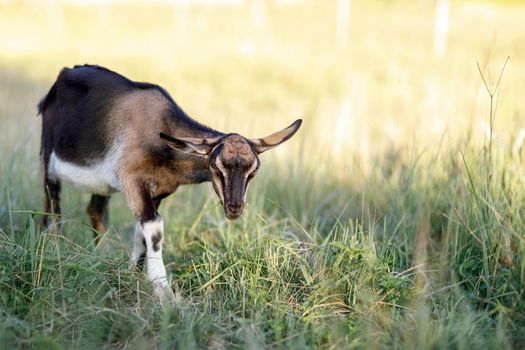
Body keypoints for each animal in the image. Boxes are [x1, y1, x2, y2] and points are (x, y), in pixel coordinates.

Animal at [39, 64, 300, 296]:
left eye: (253, 171)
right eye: (216, 167)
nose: (234, 208)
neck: (160, 134)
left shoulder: (159, 191)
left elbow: (140, 233)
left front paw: (132, 276)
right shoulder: (131, 179)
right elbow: (154, 229)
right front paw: (163, 291)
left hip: (102, 186)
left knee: (95, 211)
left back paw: (100, 255)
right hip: (48, 162)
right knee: (52, 211)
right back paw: (53, 250)